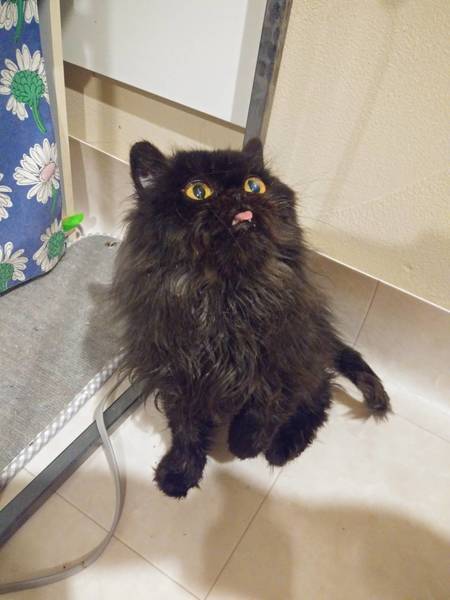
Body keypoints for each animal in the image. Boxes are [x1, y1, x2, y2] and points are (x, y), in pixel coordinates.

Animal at [111, 138, 391, 498]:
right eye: (198, 191)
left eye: (253, 185)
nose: (237, 196)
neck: (226, 296)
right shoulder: (180, 375)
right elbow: (186, 430)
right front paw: (180, 472)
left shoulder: (282, 359)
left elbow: (263, 409)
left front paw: (244, 445)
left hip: (310, 356)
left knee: (320, 393)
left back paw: (284, 445)